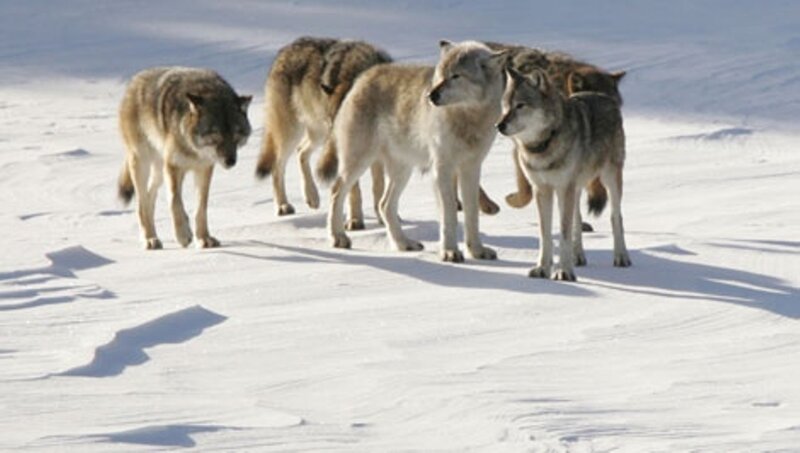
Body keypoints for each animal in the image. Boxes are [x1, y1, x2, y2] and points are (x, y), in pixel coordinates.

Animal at [117, 67, 252, 249]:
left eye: (236, 135)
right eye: (216, 135)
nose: (230, 161)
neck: (193, 148)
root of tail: (135, 80)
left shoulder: (204, 168)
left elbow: (201, 207)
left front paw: (203, 238)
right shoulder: (173, 166)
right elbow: (174, 201)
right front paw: (183, 235)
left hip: (159, 171)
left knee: (150, 197)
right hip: (143, 163)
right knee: (141, 203)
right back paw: (149, 239)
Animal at [255, 37, 391, 229]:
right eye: (335, 121)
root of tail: (285, 50)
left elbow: (378, 185)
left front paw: (382, 218)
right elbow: (354, 190)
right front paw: (355, 220)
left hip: (317, 134)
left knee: (301, 151)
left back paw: (311, 197)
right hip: (293, 133)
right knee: (278, 165)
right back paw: (283, 205)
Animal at [317, 40, 507, 262]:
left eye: (456, 76)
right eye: (440, 75)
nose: (431, 95)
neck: (467, 119)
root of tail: (363, 77)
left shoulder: (471, 168)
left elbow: (472, 215)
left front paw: (477, 251)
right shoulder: (442, 169)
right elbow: (449, 215)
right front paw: (450, 252)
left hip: (402, 171)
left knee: (384, 205)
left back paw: (403, 243)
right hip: (359, 163)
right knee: (336, 191)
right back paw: (338, 237)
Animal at [496, 67, 631, 280]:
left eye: (520, 105)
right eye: (505, 106)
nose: (499, 126)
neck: (544, 145)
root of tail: (603, 96)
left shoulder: (563, 188)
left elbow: (564, 232)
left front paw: (564, 271)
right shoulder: (542, 189)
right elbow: (545, 234)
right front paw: (542, 268)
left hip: (609, 179)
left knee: (615, 216)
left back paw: (621, 257)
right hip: (575, 189)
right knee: (578, 218)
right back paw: (578, 257)